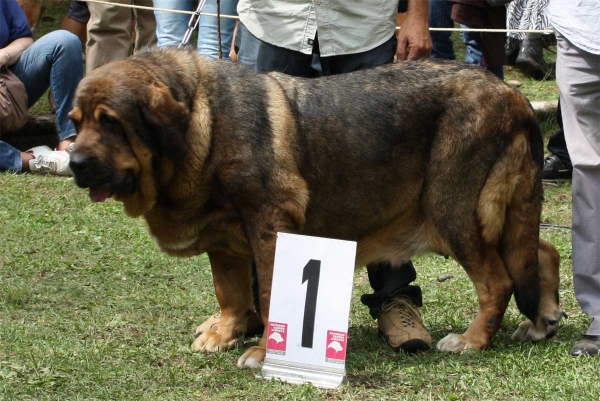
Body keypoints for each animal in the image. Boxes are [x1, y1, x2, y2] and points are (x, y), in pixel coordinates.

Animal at [69, 48, 564, 368]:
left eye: (110, 122)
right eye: (76, 122)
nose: (74, 163)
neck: (200, 120)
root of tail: (513, 95)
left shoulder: (269, 226)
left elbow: (269, 293)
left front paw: (264, 351)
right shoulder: (225, 244)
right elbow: (230, 292)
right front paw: (225, 332)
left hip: (453, 211)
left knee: (498, 281)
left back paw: (472, 341)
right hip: (503, 211)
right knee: (540, 251)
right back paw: (542, 321)